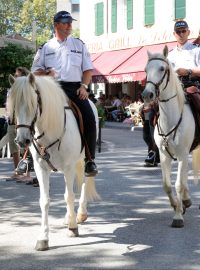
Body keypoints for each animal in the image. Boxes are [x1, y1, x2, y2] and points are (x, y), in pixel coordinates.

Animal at [7, 74, 100, 251]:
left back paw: (80, 214)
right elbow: (45, 201)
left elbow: (69, 196)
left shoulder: (69, 167)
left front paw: (73, 228)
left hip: (83, 159)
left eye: (33, 103)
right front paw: (43, 238)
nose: (22, 140)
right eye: (13, 105)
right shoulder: (40, 169)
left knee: (85, 181)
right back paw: (69, 216)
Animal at [142, 46, 200, 228]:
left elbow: (178, 184)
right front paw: (177, 205)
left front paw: (178, 217)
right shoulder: (164, 155)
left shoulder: (181, 154)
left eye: (162, 69)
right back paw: (186, 200)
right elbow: (167, 185)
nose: (147, 95)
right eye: (145, 70)